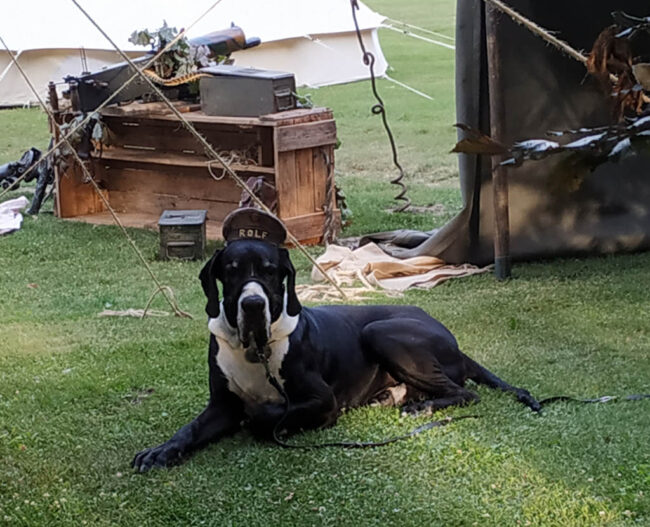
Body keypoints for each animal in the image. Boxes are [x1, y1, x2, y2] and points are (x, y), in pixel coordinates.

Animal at [132, 209, 540, 472]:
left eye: (271, 272)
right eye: (231, 272)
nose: (252, 304)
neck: (256, 349)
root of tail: (451, 337)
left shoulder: (320, 399)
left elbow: (267, 414)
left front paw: (263, 419)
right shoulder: (222, 404)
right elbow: (190, 428)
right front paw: (160, 451)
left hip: (380, 331)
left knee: (465, 392)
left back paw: (421, 407)